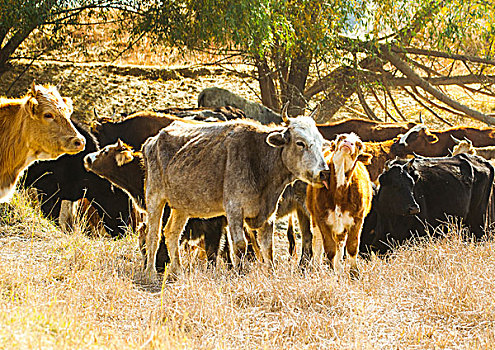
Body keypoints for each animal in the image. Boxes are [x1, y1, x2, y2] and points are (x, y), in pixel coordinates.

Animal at [142, 106, 330, 282]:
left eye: (321, 143)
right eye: (300, 143)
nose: (323, 172)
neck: (258, 160)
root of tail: (153, 140)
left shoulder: (269, 213)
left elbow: (268, 247)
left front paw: (271, 274)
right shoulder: (234, 210)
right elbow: (240, 245)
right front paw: (240, 274)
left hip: (182, 207)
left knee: (171, 233)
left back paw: (177, 272)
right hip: (154, 198)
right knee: (153, 235)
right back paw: (150, 274)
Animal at [306, 133, 372, 278]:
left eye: (359, 145)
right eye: (341, 138)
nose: (348, 143)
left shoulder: (357, 220)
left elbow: (352, 246)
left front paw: (354, 273)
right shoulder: (322, 219)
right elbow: (329, 248)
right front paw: (332, 273)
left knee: (340, 244)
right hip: (315, 219)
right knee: (318, 243)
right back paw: (317, 268)